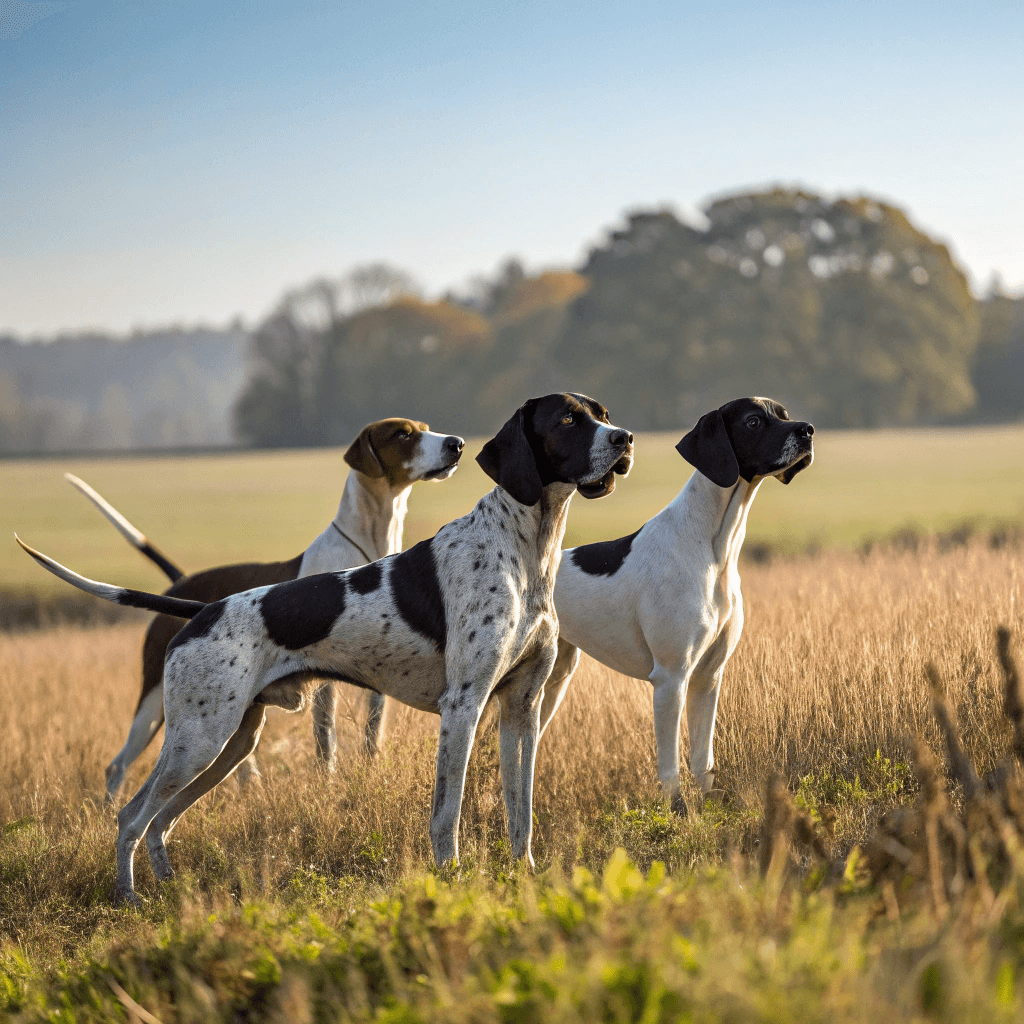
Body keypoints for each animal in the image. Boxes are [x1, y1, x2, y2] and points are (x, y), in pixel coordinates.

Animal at [75, 419, 464, 802]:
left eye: (425, 426)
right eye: (403, 434)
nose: (456, 444)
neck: (371, 540)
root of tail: (181, 583)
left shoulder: (379, 678)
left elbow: (371, 733)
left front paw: (370, 773)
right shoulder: (325, 681)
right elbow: (326, 737)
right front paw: (327, 782)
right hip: (156, 702)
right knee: (118, 766)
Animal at [540, 395, 811, 811]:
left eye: (783, 414)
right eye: (753, 421)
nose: (808, 431)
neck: (713, 545)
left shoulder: (708, 677)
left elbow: (703, 757)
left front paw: (712, 804)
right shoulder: (670, 679)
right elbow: (670, 765)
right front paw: (679, 813)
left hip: (552, 681)